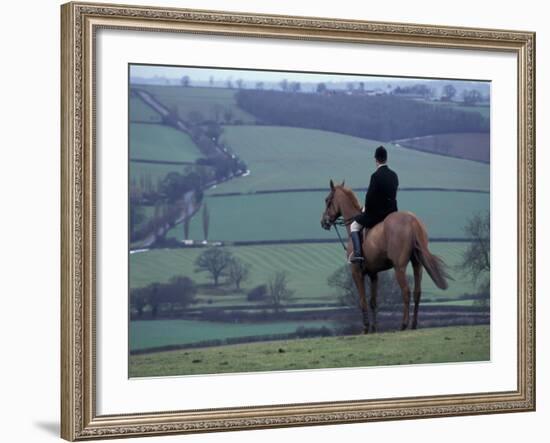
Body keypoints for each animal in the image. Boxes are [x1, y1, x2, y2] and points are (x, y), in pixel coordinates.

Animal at [322, 180, 450, 332]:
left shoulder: (356, 272)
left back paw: (403, 325)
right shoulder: (373, 274)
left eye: (327, 200)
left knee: (406, 292)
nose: (323, 222)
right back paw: (413, 325)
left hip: (399, 267)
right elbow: (373, 301)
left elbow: (362, 300)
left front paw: (366, 328)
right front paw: (374, 328)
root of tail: (412, 221)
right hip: (417, 264)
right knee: (417, 293)